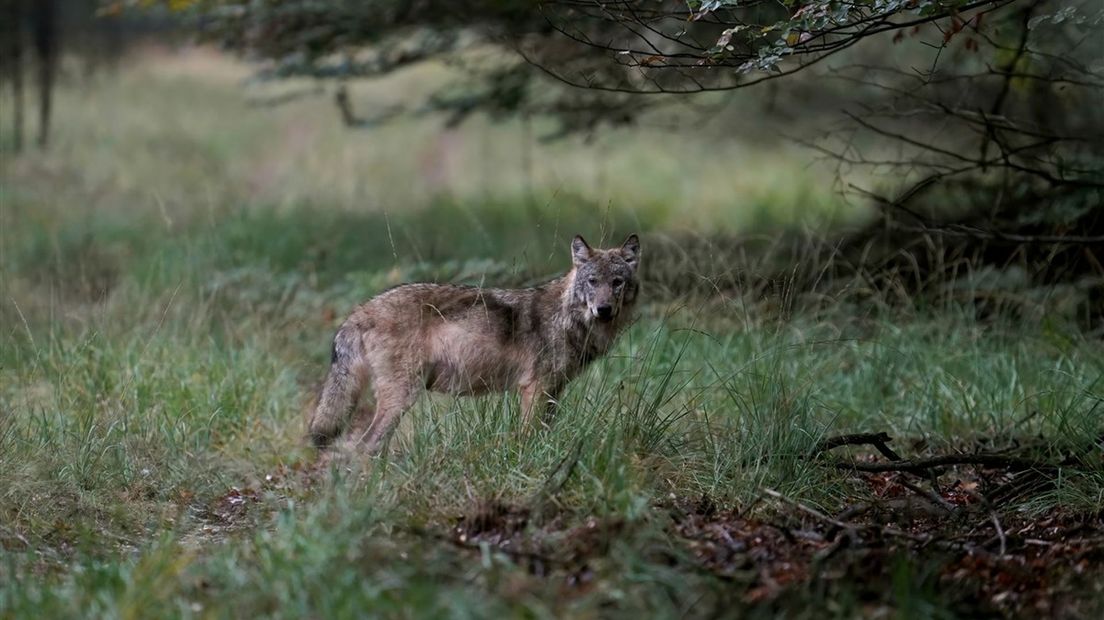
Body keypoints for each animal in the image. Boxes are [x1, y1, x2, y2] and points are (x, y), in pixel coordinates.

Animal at [306, 232, 644, 454]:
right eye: (592, 282)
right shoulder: (535, 388)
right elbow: (528, 436)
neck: (568, 318)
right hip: (402, 397)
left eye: (617, 282)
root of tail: (359, 311)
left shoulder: (553, 391)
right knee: (364, 447)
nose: (603, 310)